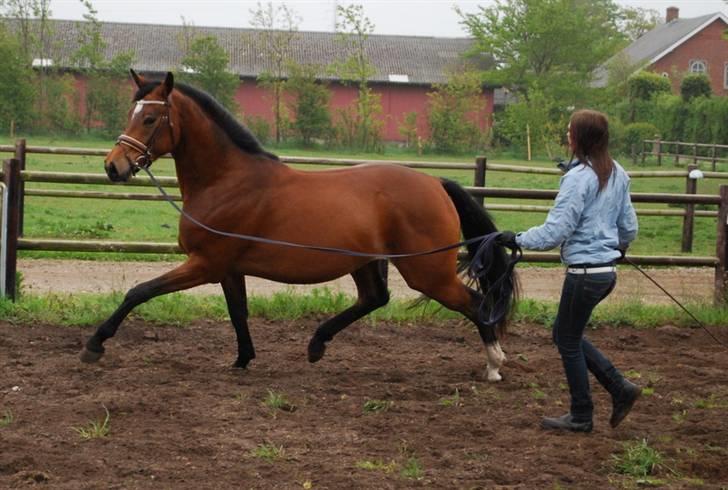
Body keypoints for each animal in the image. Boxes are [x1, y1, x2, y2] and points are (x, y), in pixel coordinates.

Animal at [82, 70, 516, 378]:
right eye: (132, 113)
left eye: (150, 117)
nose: (113, 166)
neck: (227, 181)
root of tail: (436, 184)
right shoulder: (228, 269)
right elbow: (238, 312)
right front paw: (242, 360)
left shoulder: (205, 264)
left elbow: (139, 292)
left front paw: (94, 345)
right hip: (366, 262)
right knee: (374, 298)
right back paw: (316, 345)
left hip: (427, 272)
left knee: (475, 303)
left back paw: (495, 364)